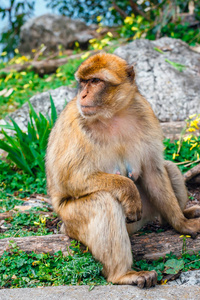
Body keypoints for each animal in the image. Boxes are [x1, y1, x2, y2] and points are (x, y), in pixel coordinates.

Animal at [45, 53, 200, 288]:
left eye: (95, 81)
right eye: (83, 82)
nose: (83, 94)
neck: (112, 115)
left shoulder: (145, 112)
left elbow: (153, 171)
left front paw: (182, 225)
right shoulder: (74, 124)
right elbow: (68, 180)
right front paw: (127, 189)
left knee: (169, 167)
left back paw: (180, 216)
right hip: (71, 222)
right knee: (103, 201)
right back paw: (122, 274)